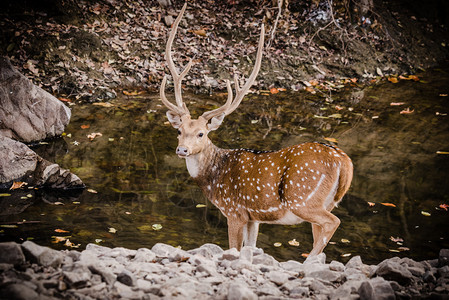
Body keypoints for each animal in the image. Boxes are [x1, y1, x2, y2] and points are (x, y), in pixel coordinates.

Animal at [159, 2, 352, 258]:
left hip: (303, 199)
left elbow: (234, 247)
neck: (214, 178)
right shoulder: (254, 217)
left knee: (332, 222)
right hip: (326, 201)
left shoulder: (235, 211)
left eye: (201, 133)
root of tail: (344, 162)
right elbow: (250, 248)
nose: (182, 150)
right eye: (179, 131)